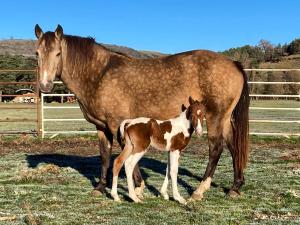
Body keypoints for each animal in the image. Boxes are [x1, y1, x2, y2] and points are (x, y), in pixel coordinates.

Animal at [35, 24, 250, 200]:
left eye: (58, 53)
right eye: (37, 53)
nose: (45, 86)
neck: (100, 74)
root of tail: (234, 63)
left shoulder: (117, 124)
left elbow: (128, 156)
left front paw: (138, 188)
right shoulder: (101, 126)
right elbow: (105, 154)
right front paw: (100, 187)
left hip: (214, 118)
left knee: (216, 148)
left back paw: (199, 190)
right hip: (225, 119)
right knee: (233, 147)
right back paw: (235, 187)